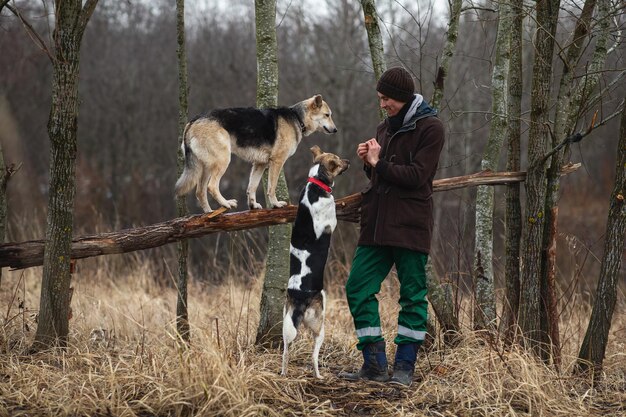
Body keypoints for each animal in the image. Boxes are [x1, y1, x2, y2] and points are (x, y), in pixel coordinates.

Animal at [173, 94, 336, 211]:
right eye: (327, 115)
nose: (335, 130)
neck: (297, 118)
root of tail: (193, 121)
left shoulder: (259, 164)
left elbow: (251, 187)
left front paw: (253, 205)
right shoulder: (277, 162)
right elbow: (271, 187)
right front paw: (276, 204)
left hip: (206, 167)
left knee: (200, 192)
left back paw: (209, 213)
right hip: (222, 161)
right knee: (211, 187)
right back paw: (226, 204)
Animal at [280, 145, 348, 378]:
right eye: (338, 160)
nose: (349, 161)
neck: (316, 183)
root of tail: (300, 297)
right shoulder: (331, 221)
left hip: (287, 322)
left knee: (285, 350)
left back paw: (283, 372)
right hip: (320, 325)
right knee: (314, 356)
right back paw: (318, 375)